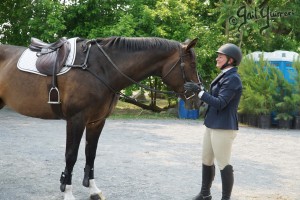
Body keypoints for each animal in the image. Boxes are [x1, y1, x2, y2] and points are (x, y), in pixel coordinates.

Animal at [0, 36, 203, 200]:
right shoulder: (76, 120)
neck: (101, 69)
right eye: (192, 65)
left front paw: (93, 190)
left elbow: (91, 154)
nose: (198, 99)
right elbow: (71, 155)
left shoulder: (96, 121)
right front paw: (68, 192)